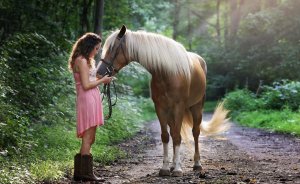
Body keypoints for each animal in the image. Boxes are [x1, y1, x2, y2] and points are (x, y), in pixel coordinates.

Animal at [98, 25, 230, 176]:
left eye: (113, 48)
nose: (99, 72)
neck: (167, 72)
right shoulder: (160, 107)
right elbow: (166, 136)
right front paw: (166, 168)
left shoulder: (179, 107)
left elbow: (178, 136)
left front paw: (178, 169)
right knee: (173, 132)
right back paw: (173, 165)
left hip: (196, 107)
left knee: (195, 132)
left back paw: (197, 164)